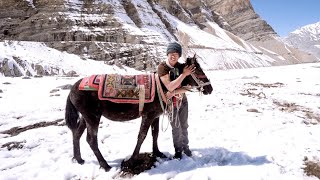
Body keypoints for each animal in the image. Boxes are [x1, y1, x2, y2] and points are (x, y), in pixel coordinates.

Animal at [65, 55, 214, 171]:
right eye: (198, 70)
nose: (210, 88)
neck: (162, 85)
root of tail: (73, 88)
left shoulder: (155, 116)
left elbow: (155, 134)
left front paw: (157, 153)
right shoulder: (147, 116)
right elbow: (142, 136)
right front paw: (132, 160)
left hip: (86, 117)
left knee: (77, 134)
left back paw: (79, 159)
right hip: (93, 117)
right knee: (91, 140)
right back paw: (105, 165)